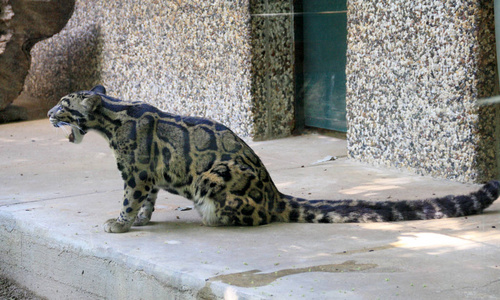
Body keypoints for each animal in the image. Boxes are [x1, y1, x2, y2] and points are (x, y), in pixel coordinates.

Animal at [47, 85, 500, 233]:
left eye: (63, 105)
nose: (50, 114)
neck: (109, 123)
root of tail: (274, 191)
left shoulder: (136, 174)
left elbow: (130, 199)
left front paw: (121, 223)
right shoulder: (149, 176)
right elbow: (149, 201)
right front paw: (141, 220)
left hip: (214, 176)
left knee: (252, 215)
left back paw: (214, 217)